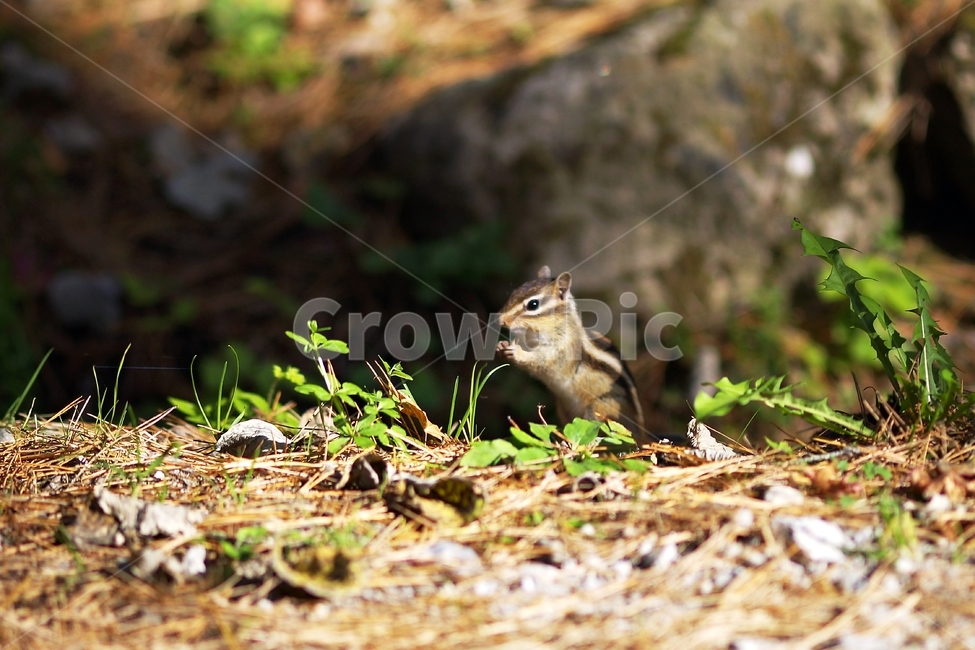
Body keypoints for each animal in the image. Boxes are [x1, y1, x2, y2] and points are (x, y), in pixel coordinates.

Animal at [496, 266, 649, 445]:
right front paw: (501, 346)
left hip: (601, 409)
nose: (501, 320)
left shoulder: (562, 350)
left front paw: (517, 352)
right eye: (514, 292)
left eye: (533, 304)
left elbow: (541, 362)